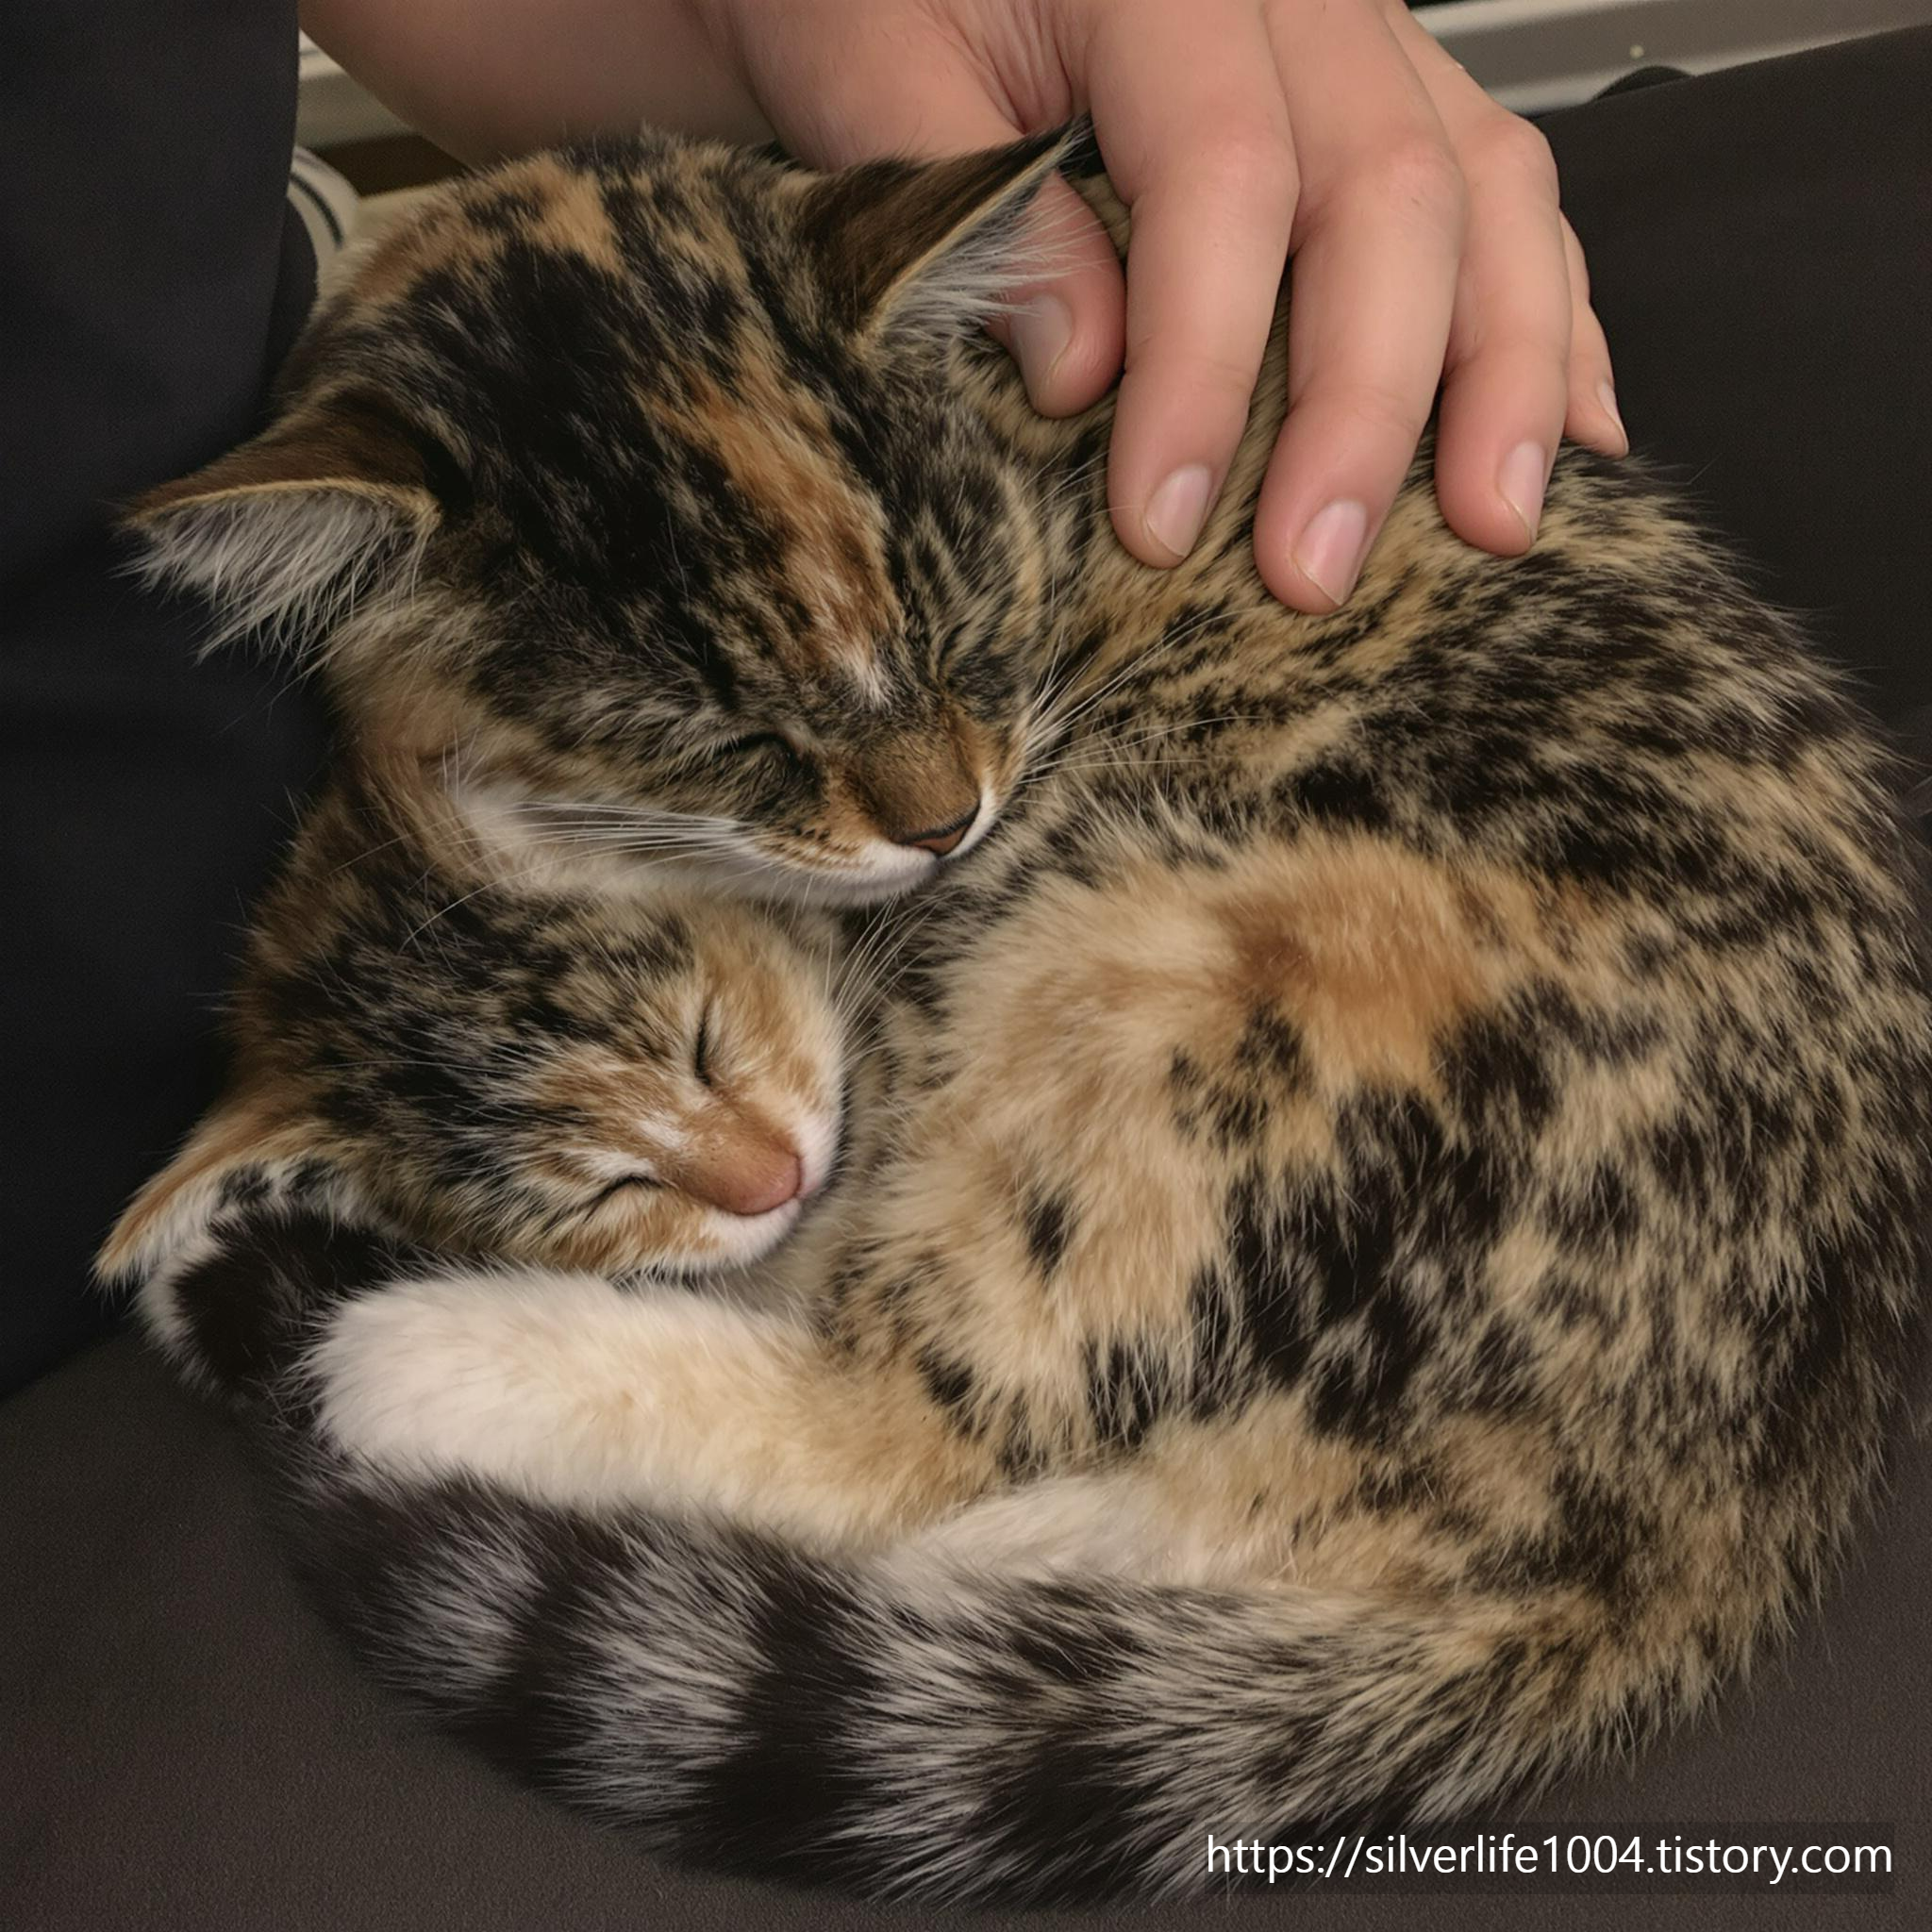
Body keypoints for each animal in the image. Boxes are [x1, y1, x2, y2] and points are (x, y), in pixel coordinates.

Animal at [100, 128, 1931, 1903]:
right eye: (734, 746)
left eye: (963, 628)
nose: (942, 822)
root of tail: (1729, 1494)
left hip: (1211, 977)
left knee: (911, 1430)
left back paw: (402, 1352)